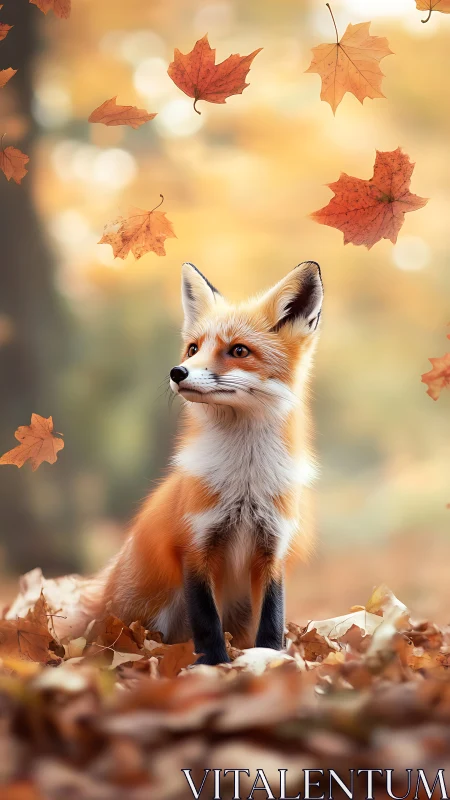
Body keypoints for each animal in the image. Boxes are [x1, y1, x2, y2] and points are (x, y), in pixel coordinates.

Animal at [99, 260, 323, 665]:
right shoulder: (195, 544)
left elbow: (273, 615)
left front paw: (269, 658)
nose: (177, 372)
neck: (245, 482)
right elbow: (205, 618)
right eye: (193, 348)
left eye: (238, 350)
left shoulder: (273, 548)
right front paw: (215, 665)